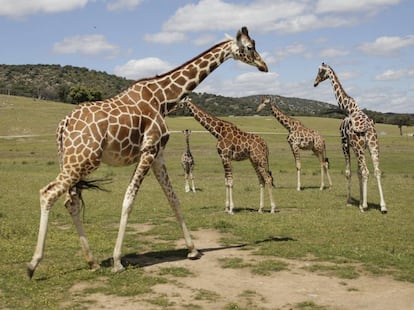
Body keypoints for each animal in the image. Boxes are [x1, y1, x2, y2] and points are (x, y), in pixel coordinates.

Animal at [28, 26, 268, 278]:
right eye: (250, 47)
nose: (264, 65)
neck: (163, 98)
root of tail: (63, 125)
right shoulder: (149, 150)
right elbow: (128, 200)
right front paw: (117, 261)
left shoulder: (157, 154)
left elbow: (174, 198)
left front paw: (192, 250)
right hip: (83, 160)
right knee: (48, 193)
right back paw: (33, 265)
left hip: (72, 161)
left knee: (70, 202)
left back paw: (92, 262)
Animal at [316, 62, 386, 213]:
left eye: (319, 71)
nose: (315, 82)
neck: (349, 108)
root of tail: (368, 129)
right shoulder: (359, 147)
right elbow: (358, 172)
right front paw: (359, 201)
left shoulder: (344, 143)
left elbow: (349, 172)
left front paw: (350, 201)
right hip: (373, 145)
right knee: (377, 170)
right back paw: (383, 206)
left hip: (359, 147)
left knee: (366, 171)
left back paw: (365, 206)